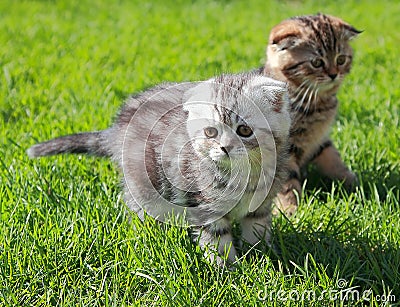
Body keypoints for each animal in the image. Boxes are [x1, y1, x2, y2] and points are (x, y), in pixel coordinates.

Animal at [28, 71, 290, 264]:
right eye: (210, 132)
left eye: (244, 130)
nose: (224, 148)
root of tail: (117, 131)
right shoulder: (204, 204)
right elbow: (217, 240)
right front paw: (227, 269)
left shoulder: (261, 205)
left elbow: (257, 230)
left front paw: (264, 255)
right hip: (144, 185)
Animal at [264, 13, 360, 215]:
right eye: (316, 62)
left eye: (341, 59)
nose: (333, 74)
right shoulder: (284, 148)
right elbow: (287, 182)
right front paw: (289, 209)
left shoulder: (320, 139)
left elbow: (334, 160)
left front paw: (354, 183)